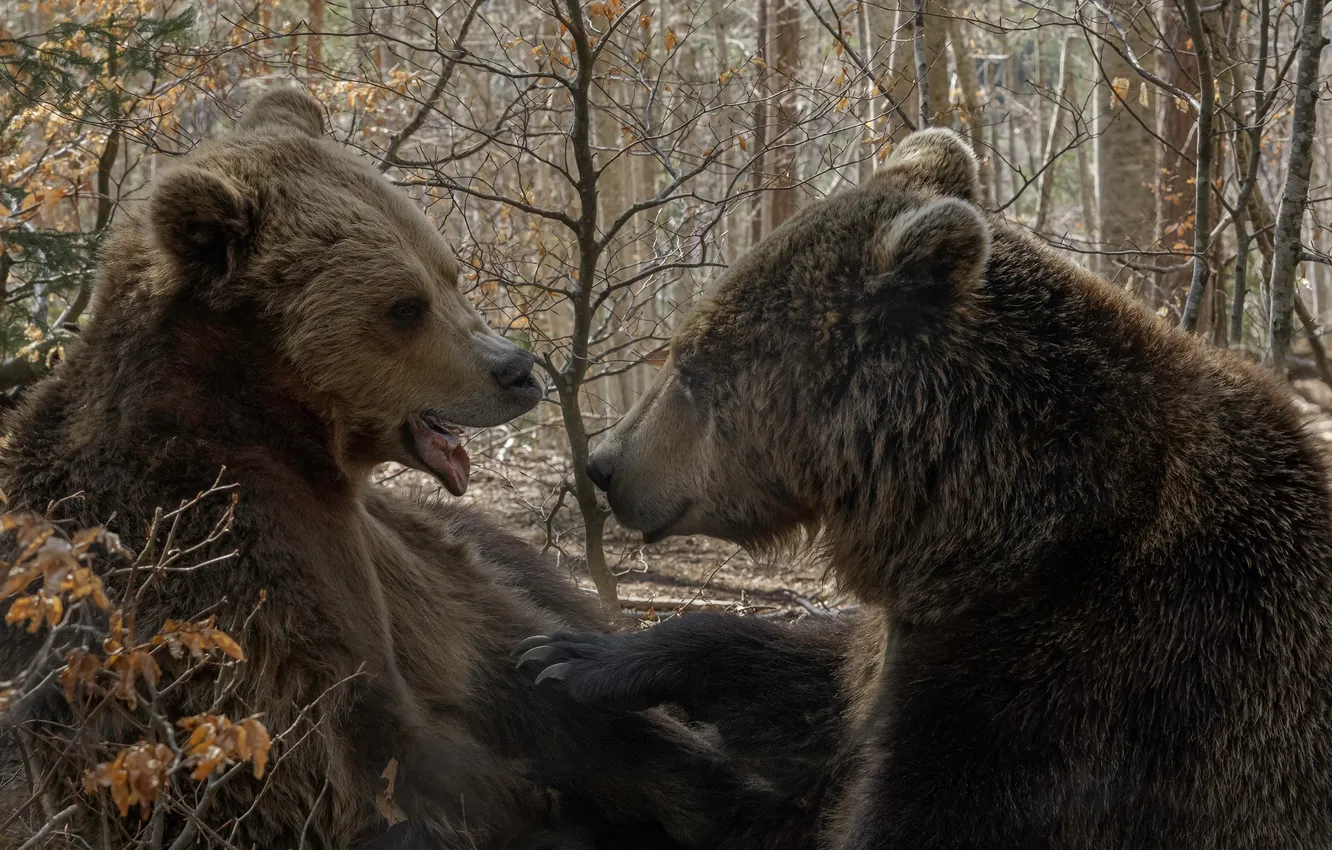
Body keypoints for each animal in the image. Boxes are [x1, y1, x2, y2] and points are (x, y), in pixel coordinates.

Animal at [0, 89, 778, 850]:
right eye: (405, 306)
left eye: (448, 271)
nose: (517, 370)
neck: (279, 433)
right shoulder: (230, 571)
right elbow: (355, 751)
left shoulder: (408, 572)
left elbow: (542, 683)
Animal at [517, 127, 1332, 849]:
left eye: (689, 366)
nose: (604, 463)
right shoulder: (905, 641)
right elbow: (818, 694)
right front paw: (580, 654)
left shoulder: (1082, 680)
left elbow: (913, 806)